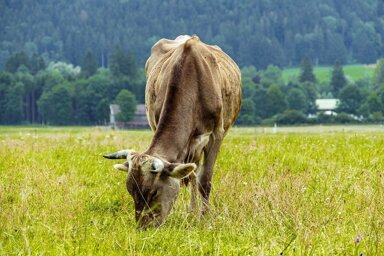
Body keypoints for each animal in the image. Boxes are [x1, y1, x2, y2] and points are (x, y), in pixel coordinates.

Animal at [104, 34, 243, 228]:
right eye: (130, 191)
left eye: (153, 192)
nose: (144, 227)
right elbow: (190, 176)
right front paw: (192, 213)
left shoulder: (216, 133)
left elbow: (205, 180)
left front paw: (205, 218)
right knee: (191, 175)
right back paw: (191, 211)